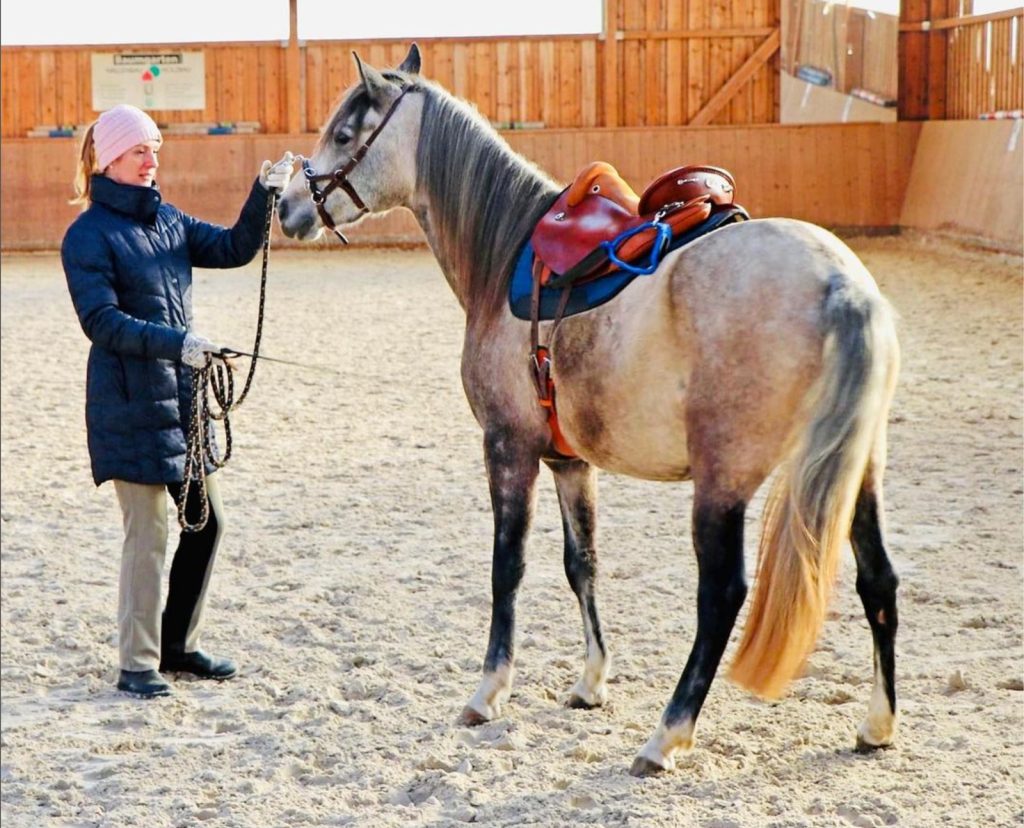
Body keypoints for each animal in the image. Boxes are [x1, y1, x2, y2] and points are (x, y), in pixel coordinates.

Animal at [276, 45, 901, 773]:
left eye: (345, 133)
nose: (287, 206)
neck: (507, 255)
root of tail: (840, 284)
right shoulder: (569, 463)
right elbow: (584, 565)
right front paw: (591, 683)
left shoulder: (509, 446)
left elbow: (508, 567)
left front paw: (488, 692)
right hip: (855, 470)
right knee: (879, 582)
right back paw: (877, 725)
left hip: (723, 483)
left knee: (721, 594)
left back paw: (666, 735)